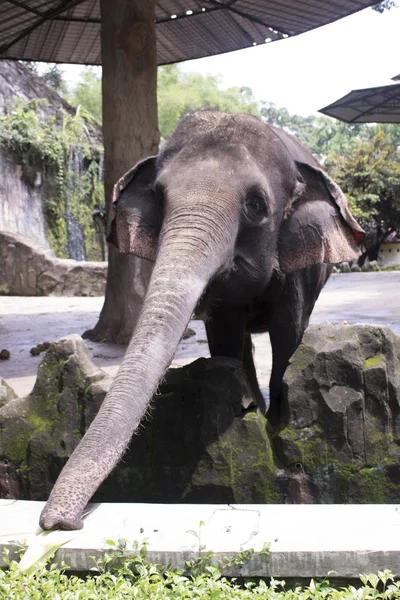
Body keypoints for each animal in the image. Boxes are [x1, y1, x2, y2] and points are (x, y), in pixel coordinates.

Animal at [39, 109, 364, 528]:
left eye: (256, 205)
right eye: (159, 198)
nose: (62, 522)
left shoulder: (300, 268)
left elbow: (287, 336)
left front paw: (277, 425)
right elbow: (225, 337)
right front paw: (249, 412)